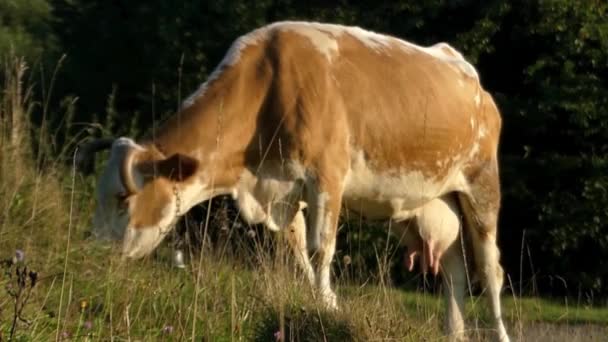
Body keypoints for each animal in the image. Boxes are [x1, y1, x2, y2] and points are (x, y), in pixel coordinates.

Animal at [78, 22, 510, 342]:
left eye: (122, 198)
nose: (94, 254)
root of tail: (471, 79)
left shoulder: (327, 177)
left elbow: (322, 248)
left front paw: (329, 304)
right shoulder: (283, 191)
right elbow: (297, 251)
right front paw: (319, 304)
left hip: (482, 187)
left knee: (490, 271)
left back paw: (499, 332)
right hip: (435, 202)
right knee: (454, 270)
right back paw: (453, 332)